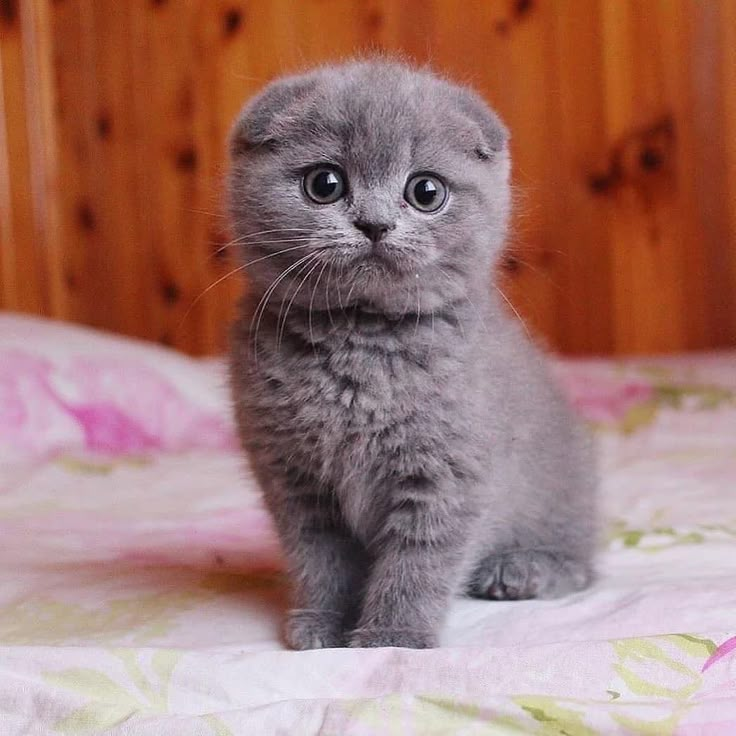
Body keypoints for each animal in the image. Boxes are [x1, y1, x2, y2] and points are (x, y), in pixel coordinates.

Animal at [227, 61, 596, 648]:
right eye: (325, 184)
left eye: (426, 191)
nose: (374, 224)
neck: (361, 338)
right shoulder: (294, 479)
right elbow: (320, 558)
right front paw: (322, 623)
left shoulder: (447, 473)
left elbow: (417, 562)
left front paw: (390, 636)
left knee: (582, 565)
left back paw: (521, 570)